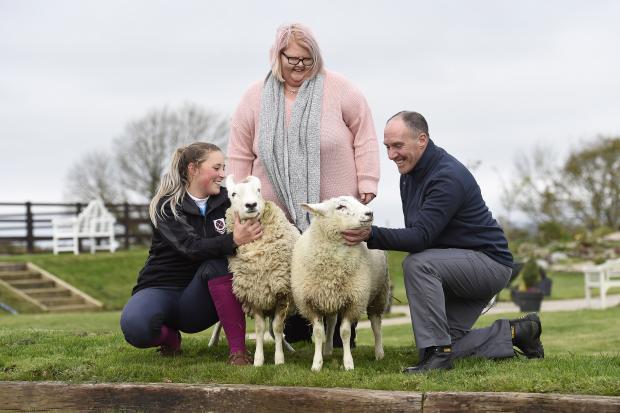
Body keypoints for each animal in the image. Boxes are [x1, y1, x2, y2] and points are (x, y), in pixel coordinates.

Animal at [225, 174, 300, 364]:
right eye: (233, 194)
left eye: (258, 190)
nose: (251, 205)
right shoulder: (254, 294)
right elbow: (259, 329)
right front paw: (258, 360)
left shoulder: (282, 294)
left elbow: (278, 327)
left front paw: (279, 359)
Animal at [290, 195, 388, 372]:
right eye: (340, 207)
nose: (369, 213)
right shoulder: (310, 303)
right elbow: (318, 333)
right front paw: (317, 363)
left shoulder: (354, 301)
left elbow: (345, 332)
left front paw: (348, 363)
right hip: (332, 297)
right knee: (331, 321)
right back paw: (327, 350)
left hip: (379, 295)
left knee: (376, 325)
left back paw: (379, 353)